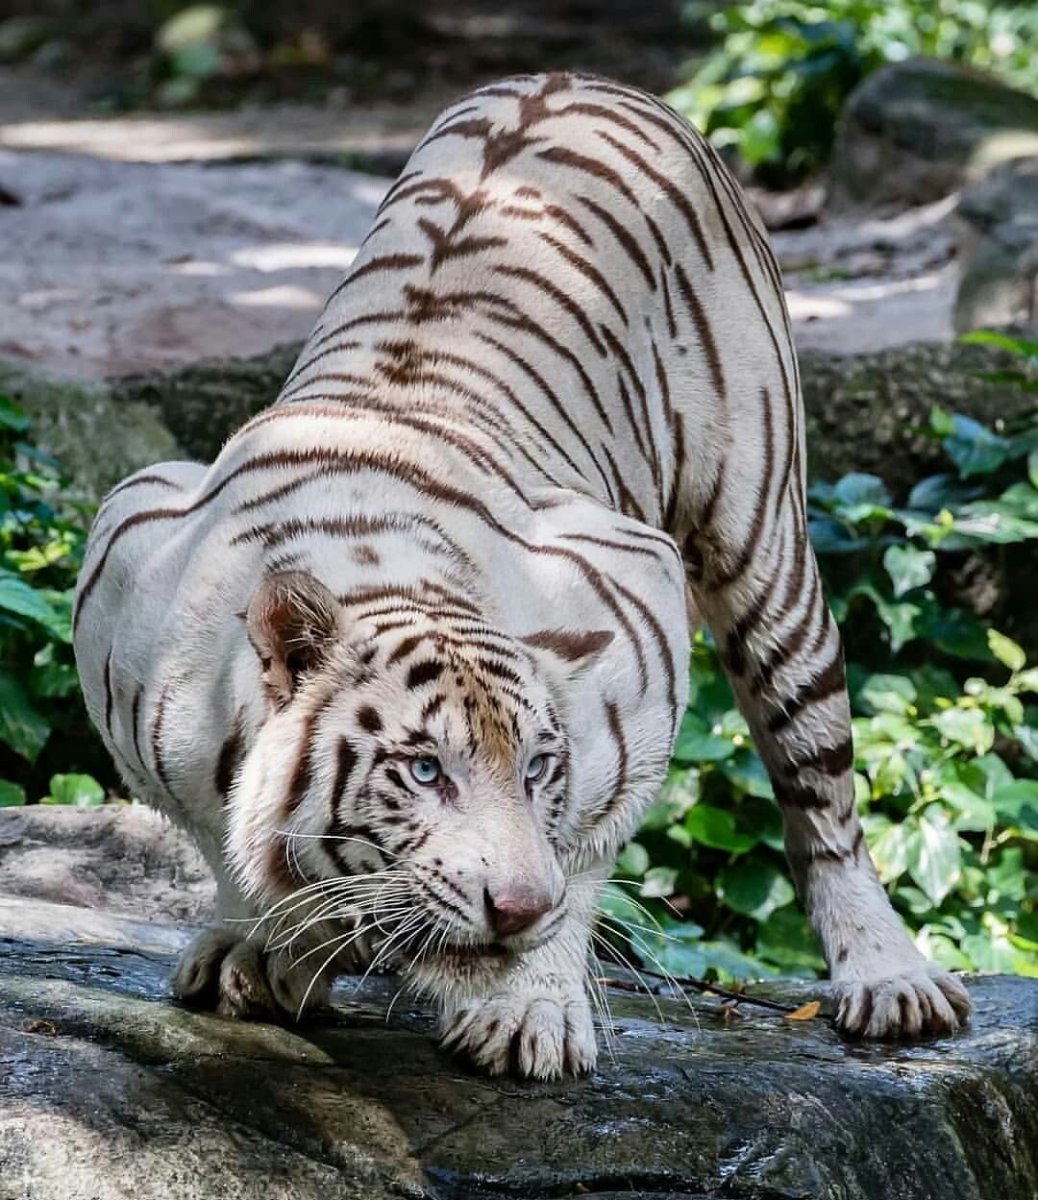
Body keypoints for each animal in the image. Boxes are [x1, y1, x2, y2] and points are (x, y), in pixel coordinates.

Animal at [73, 71, 970, 1081]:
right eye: (424, 771)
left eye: (539, 765)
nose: (515, 909)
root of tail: (580, 79)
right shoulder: (126, 564)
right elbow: (223, 846)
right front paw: (256, 945)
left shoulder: (635, 607)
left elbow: (580, 848)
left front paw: (525, 1010)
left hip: (765, 544)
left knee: (822, 792)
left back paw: (891, 980)